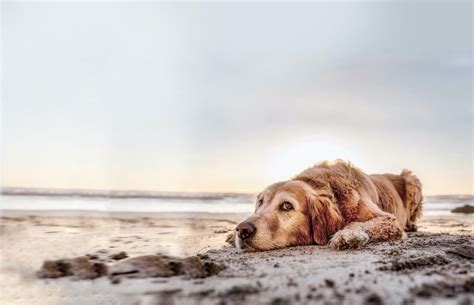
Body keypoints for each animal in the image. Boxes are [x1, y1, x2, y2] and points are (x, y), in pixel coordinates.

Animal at [228, 159, 424, 249]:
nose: (243, 229)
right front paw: (231, 235)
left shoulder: (389, 220)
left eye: (286, 206)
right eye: (261, 202)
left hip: (411, 179)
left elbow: (358, 223)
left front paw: (347, 234)